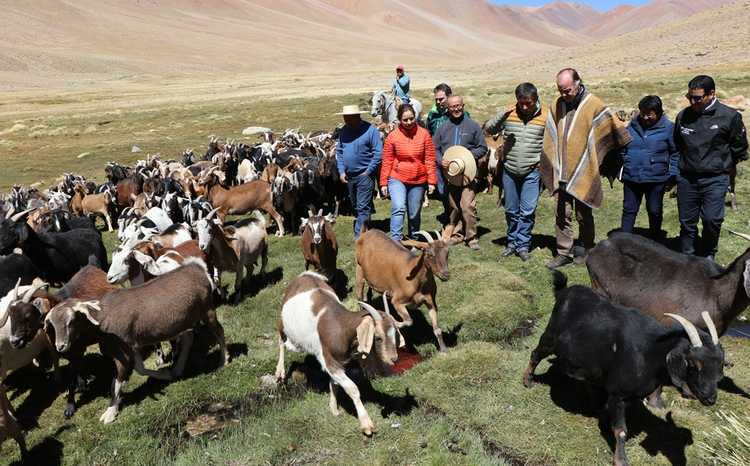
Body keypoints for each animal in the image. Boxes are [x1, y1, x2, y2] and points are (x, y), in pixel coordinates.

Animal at [43, 256, 226, 424]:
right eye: (52, 324)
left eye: (71, 321)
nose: (60, 346)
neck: (101, 320)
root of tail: (197, 268)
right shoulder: (131, 345)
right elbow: (140, 369)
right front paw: (165, 375)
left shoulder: (122, 350)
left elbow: (117, 381)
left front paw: (111, 411)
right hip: (186, 318)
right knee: (188, 338)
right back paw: (178, 369)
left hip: (207, 309)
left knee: (219, 332)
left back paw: (224, 360)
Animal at [276, 272, 406, 436]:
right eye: (378, 337)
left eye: (394, 334)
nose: (393, 358)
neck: (340, 328)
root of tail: (305, 275)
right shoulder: (329, 361)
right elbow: (352, 388)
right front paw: (367, 425)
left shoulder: (341, 362)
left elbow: (335, 383)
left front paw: (334, 409)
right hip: (285, 327)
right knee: (281, 340)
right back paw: (279, 372)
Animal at [524, 272, 724, 466]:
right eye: (694, 364)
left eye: (720, 365)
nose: (710, 398)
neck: (651, 353)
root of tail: (567, 291)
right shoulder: (618, 394)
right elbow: (620, 430)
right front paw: (620, 460)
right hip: (550, 337)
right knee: (535, 354)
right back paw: (528, 381)